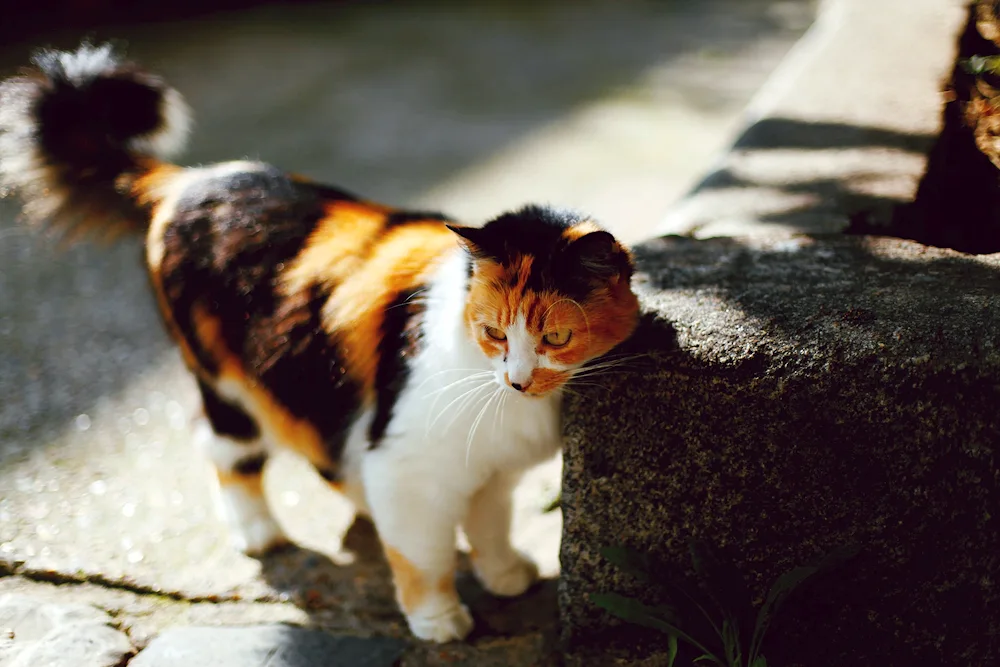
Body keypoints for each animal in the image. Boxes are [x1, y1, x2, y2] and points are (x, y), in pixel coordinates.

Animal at [0, 44, 640, 644]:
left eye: (555, 336)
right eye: (493, 333)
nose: (518, 379)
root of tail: (190, 179)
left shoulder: (492, 470)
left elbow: (490, 525)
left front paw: (505, 574)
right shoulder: (410, 465)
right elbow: (423, 558)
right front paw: (438, 620)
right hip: (228, 384)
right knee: (226, 450)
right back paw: (259, 534)